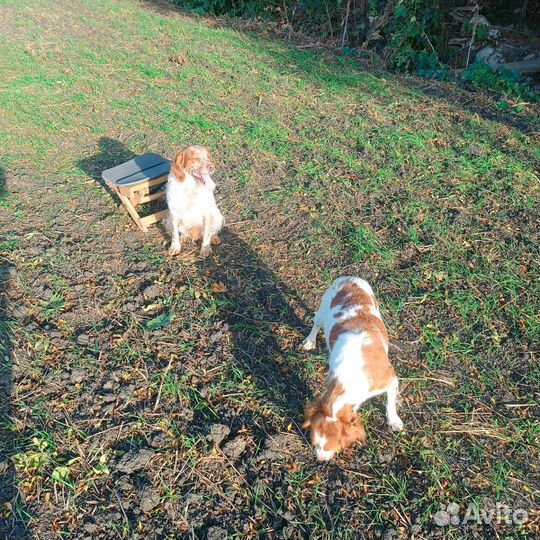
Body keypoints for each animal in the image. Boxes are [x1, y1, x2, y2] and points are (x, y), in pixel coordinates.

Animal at [302, 278, 402, 460]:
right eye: (314, 443)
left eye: (333, 446)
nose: (320, 459)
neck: (351, 377)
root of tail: (349, 278)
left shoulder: (390, 379)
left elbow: (391, 402)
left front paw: (394, 420)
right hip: (322, 311)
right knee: (316, 324)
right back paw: (310, 341)